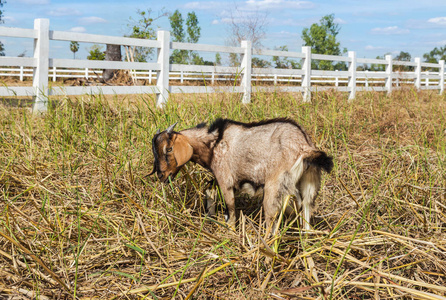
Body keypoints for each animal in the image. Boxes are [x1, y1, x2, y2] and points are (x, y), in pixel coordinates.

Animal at [149, 119, 332, 232]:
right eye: (155, 153)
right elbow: (209, 189)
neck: (213, 144)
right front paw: (210, 216)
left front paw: (230, 230)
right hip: (309, 184)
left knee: (272, 221)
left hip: (275, 186)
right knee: (306, 211)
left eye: (169, 149)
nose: (161, 176)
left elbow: (230, 207)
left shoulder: (225, 179)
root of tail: (304, 147)